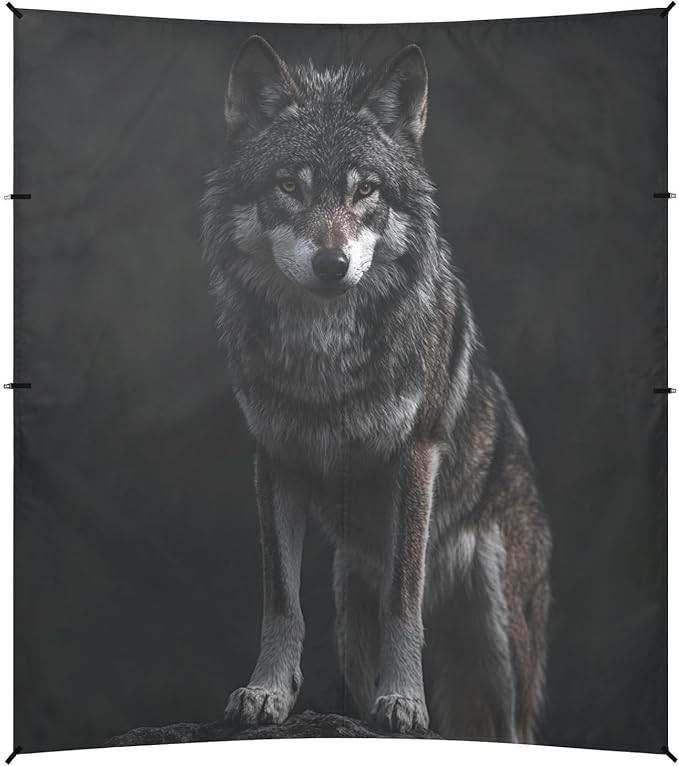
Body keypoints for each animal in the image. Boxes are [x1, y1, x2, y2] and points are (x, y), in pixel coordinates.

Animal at [201, 35, 551, 742]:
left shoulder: (413, 456)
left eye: (365, 189)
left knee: (514, 729)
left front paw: (406, 703)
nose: (332, 264)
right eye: (289, 185)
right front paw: (266, 693)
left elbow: (403, 597)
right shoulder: (274, 459)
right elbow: (280, 599)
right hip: (347, 605)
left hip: (500, 635)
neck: (324, 358)